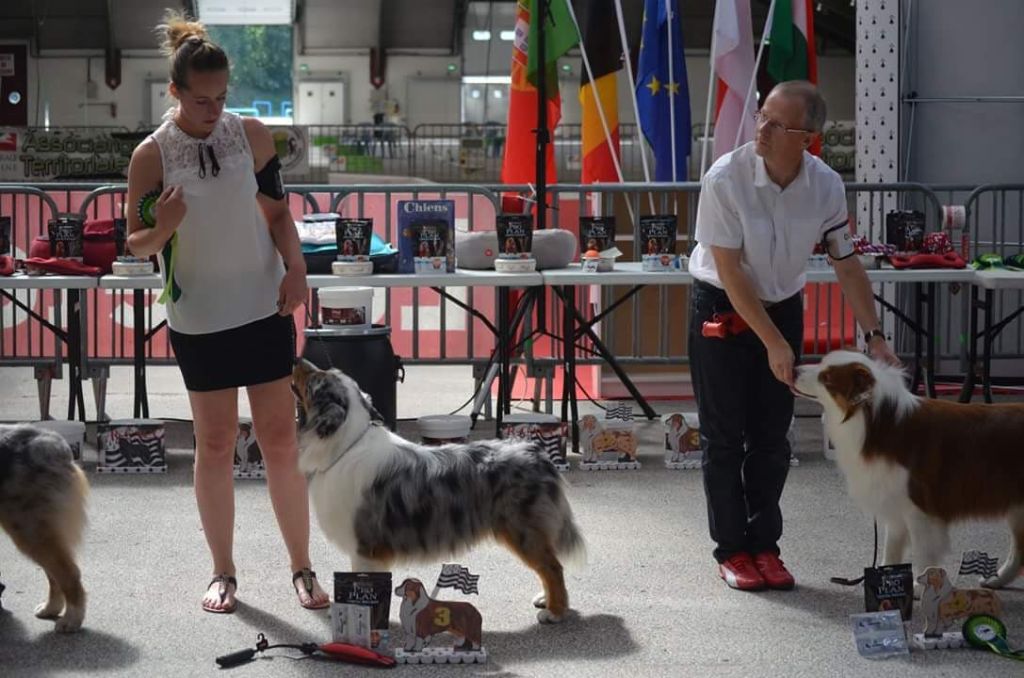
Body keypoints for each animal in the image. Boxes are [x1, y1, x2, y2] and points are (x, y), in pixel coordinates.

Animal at [0, 424, 89, 632]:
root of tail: (57, 447)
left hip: (27, 526)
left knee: (68, 572)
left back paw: (71, 619)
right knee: (54, 574)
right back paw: (50, 608)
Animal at [291, 359, 585, 623]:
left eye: (316, 379)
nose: (296, 359)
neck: (345, 444)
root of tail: (536, 452)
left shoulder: (364, 547)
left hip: (522, 530)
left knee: (552, 567)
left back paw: (555, 612)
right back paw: (546, 599)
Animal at [794, 350, 1024, 589]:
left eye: (826, 378)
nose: (793, 369)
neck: (875, 424)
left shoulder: (920, 510)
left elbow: (922, 555)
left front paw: (921, 589)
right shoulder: (895, 504)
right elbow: (891, 551)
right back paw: (997, 580)